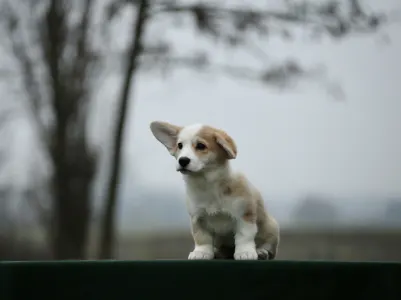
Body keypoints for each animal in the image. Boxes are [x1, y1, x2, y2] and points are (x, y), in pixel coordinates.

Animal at [149, 120, 278, 258]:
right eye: (180, 146)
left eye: (200, 146)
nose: (182, 160)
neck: (207, 184)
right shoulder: (197, 219)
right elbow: (202, 238)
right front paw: (201, 252)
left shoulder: (244, 214)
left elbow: (244, 236)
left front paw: (245, 252)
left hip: (271, 227)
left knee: (268, 244)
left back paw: (261, 251)